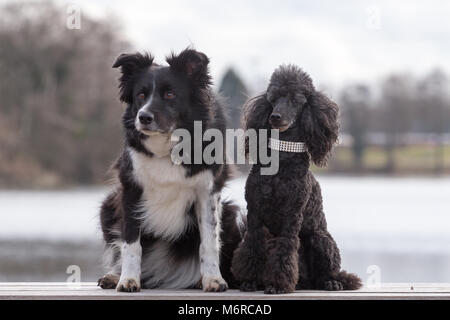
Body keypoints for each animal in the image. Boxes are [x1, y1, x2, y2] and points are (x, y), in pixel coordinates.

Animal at [98, 48, 244, 292]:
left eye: (169, 94)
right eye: (140, 95)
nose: (143, 117)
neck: (166, 145)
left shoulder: (208, 191)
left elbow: (208, 242)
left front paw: (213, 280)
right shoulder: (131, 189)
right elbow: (131, 243)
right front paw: (128, 280)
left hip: (230, 213)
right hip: (108, 206)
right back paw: (114, 276)